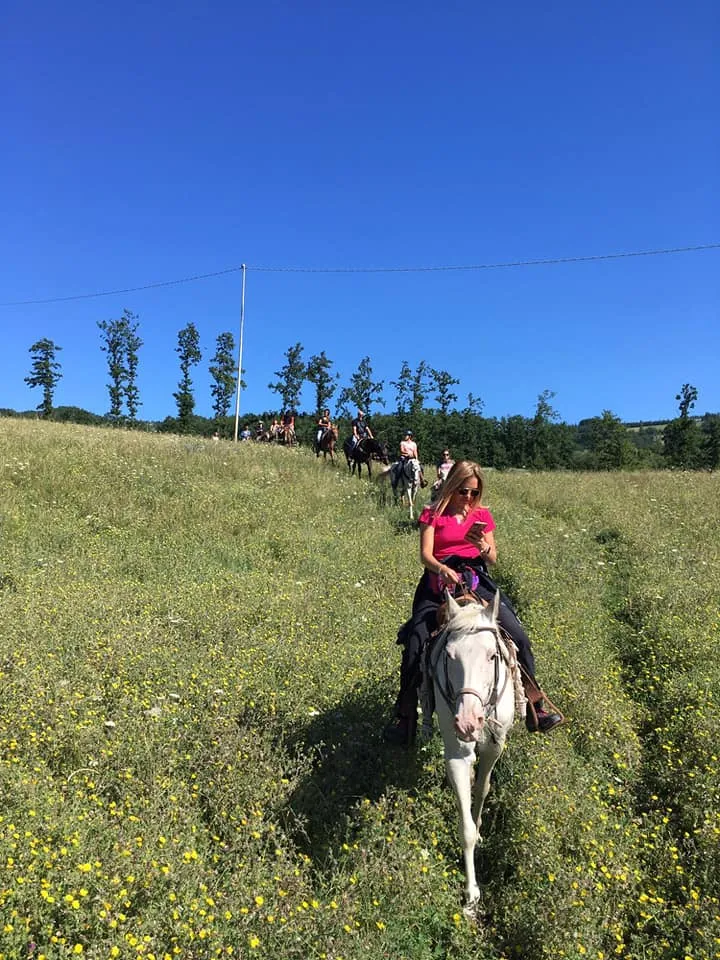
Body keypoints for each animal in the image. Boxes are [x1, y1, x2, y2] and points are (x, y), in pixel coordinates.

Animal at [423, 591, 522, 908]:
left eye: (493, 656)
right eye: (449, 655)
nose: (468, 722)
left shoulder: (495, 744)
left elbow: (482, 788)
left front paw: (480, 831)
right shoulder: (456, 752)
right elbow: (464, 825)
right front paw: (471, 892)